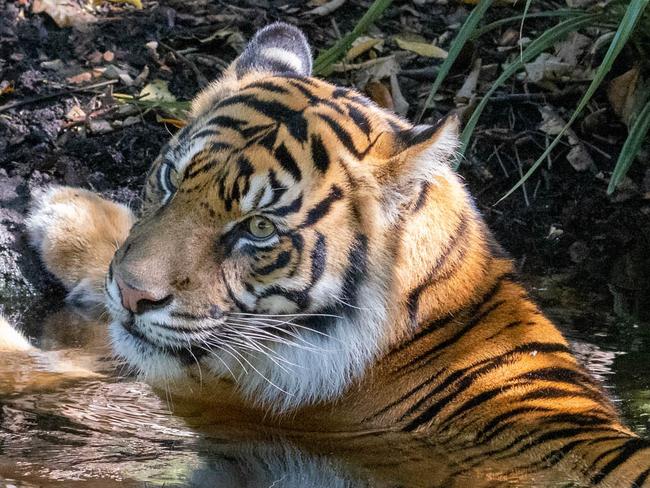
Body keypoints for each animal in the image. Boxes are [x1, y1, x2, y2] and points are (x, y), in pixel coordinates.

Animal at [10, 21, 648, 484]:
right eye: (169, 179)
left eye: (259, 228)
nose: (133, 293)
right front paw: (70, 217)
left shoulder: (217, 400)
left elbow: (42, 371)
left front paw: (60, 214)